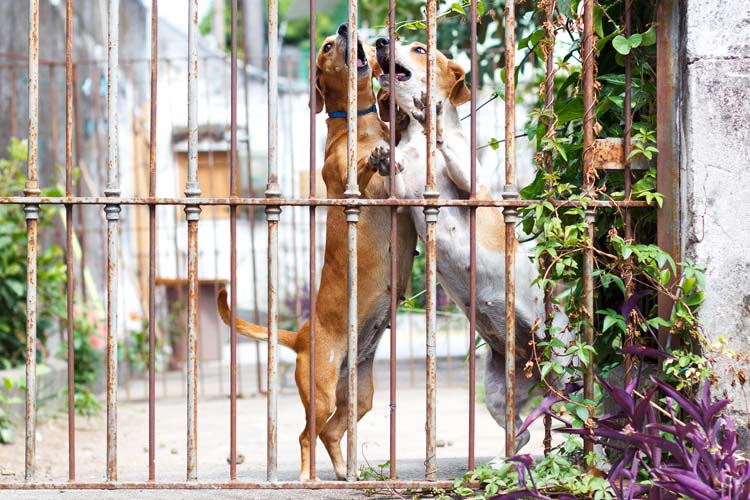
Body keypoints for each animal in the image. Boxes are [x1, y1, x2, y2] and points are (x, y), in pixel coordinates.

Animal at [216, 26, 418, 480]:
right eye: (326, 46)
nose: (345, 28)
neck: (361, 127)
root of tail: (301, 335)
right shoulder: (346, 183)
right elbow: (358, 172)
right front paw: (374, 160)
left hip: (361, 394)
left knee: (330, 431)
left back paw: (345, 471)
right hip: (322, 391)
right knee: (307, 435)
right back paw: (309, 476)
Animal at [370, 39, 568, 454]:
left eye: (419, 47)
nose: (379, 41)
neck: (416, 142)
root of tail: (535, 367)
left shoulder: (471, 186)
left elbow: (453, 157)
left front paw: (432, 120)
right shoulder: (404, 196)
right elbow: (395, 176)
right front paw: (384, 159)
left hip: (563, 364)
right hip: (496, 392)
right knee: (521, 434)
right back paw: (504, 460)